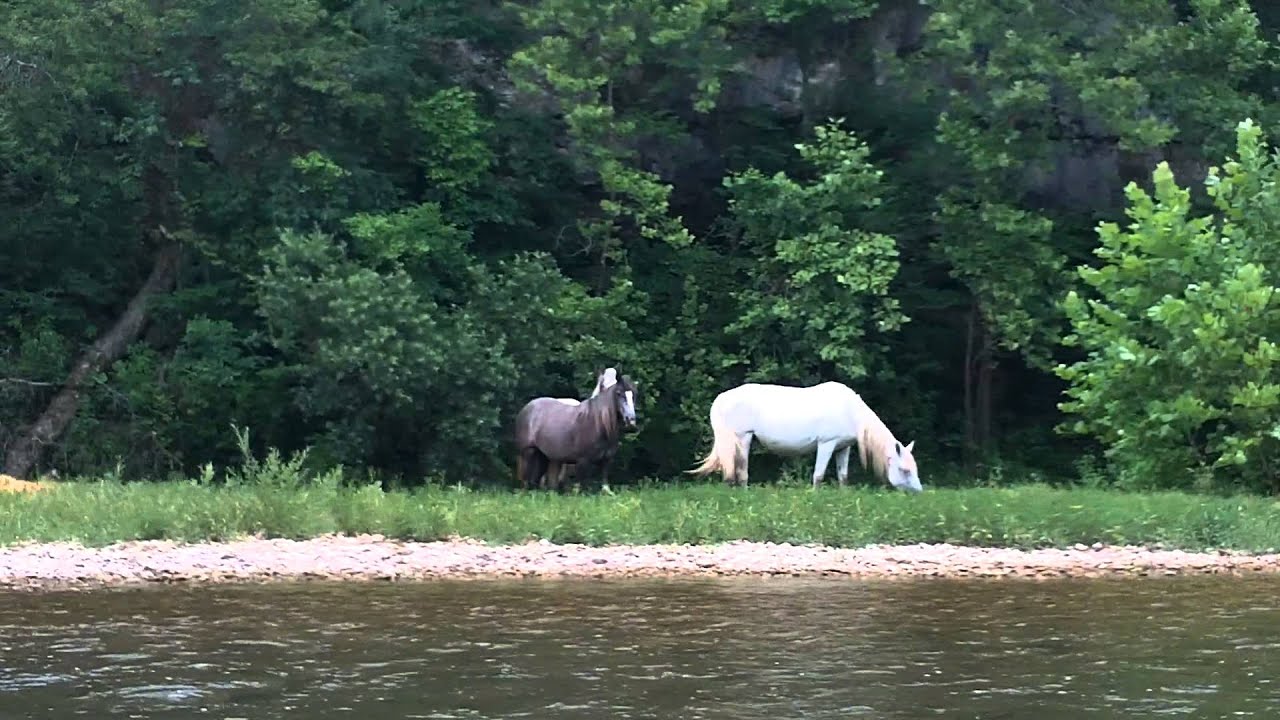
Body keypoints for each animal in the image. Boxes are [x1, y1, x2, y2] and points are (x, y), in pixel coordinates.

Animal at [688, 381, 922, 492]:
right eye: (905, 470)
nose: (918, 492)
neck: (851, 412)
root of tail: (722, 398)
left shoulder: (843, 448)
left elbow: (843, 476)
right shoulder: (827, 444)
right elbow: (818, 475)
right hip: (742, 438)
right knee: (740, 471)